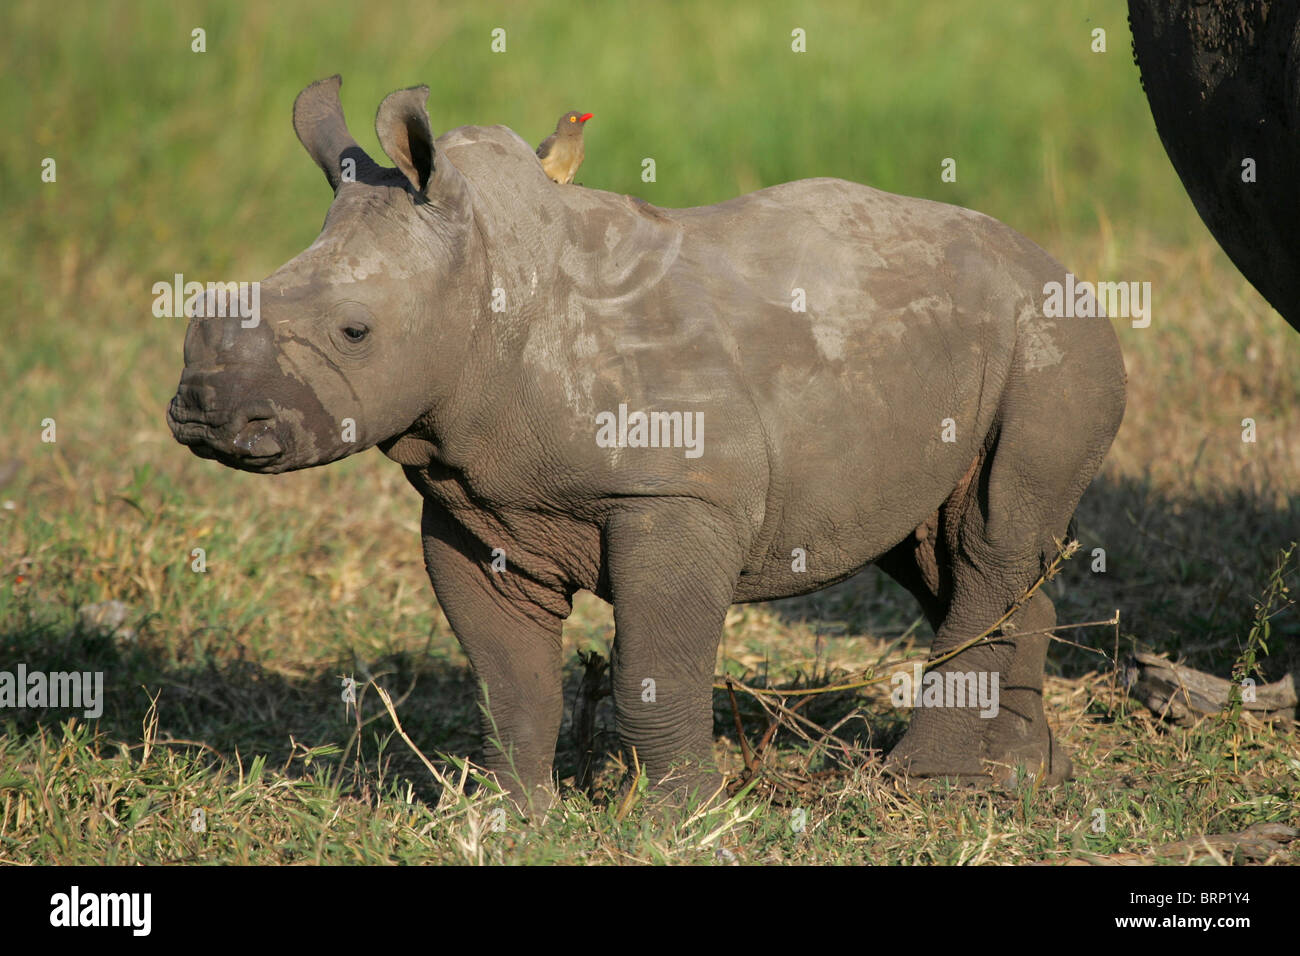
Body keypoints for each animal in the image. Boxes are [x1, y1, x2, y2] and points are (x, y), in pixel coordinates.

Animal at [168, 76, 1126, 811]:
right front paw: (508, 818)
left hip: (1053, 339)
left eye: (355, 332)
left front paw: (686, 821)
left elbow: (654, 667)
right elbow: (510, 679)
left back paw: (925, 787)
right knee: (945, 551)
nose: (208, 414)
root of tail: (1060, 268)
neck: (491, 276)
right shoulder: (473, 505)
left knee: (993, 537)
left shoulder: (675, 495)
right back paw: (1021, 782)